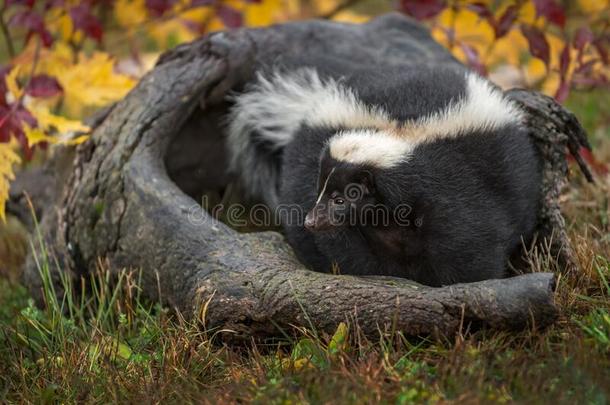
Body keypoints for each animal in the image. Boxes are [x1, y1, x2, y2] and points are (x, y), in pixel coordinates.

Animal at [226, 64, 540, 286]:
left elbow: (467, 243)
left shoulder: (455, 188)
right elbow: (348, 251)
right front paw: (377, 276)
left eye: (343, 198)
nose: (312, 221)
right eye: (322, 191)